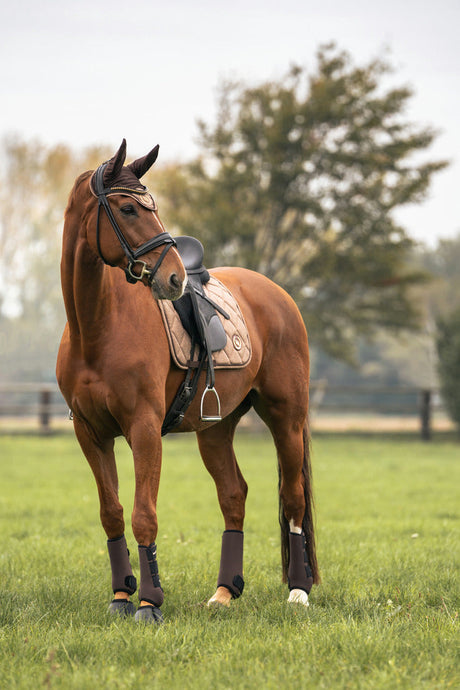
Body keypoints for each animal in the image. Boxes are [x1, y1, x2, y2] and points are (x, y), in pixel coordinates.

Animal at [55, 140, 318, 624]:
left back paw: (298, 591)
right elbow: (112, 513)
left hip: (286, 418)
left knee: (293, 498)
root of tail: (278, 295)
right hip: (215, 430)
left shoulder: (143, 429)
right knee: (234, 496)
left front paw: (148, 603)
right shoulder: (90, 433)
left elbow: (144, 514)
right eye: (127, 208)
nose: (174, 277)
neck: (97, 327)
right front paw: (120, 597)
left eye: (152, 207)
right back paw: (224, 592)